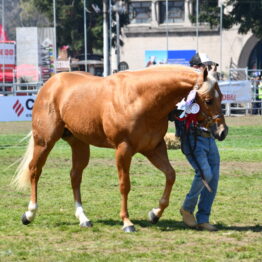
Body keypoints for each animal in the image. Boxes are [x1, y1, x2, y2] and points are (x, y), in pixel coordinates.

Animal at [13, 65, 228, 231]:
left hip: (79, 144)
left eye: (221, 97)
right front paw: (127, 222)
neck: (141, 99)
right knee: (35, 170)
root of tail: (50, 83)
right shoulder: (123, 150)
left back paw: (83, 218)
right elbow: (125, 185)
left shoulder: (154, 148)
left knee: (75, 176)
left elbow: (170, 175)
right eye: (208, 100)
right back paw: (29, 214)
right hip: (44, 141)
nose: (222, 131)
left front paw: (154, 214)